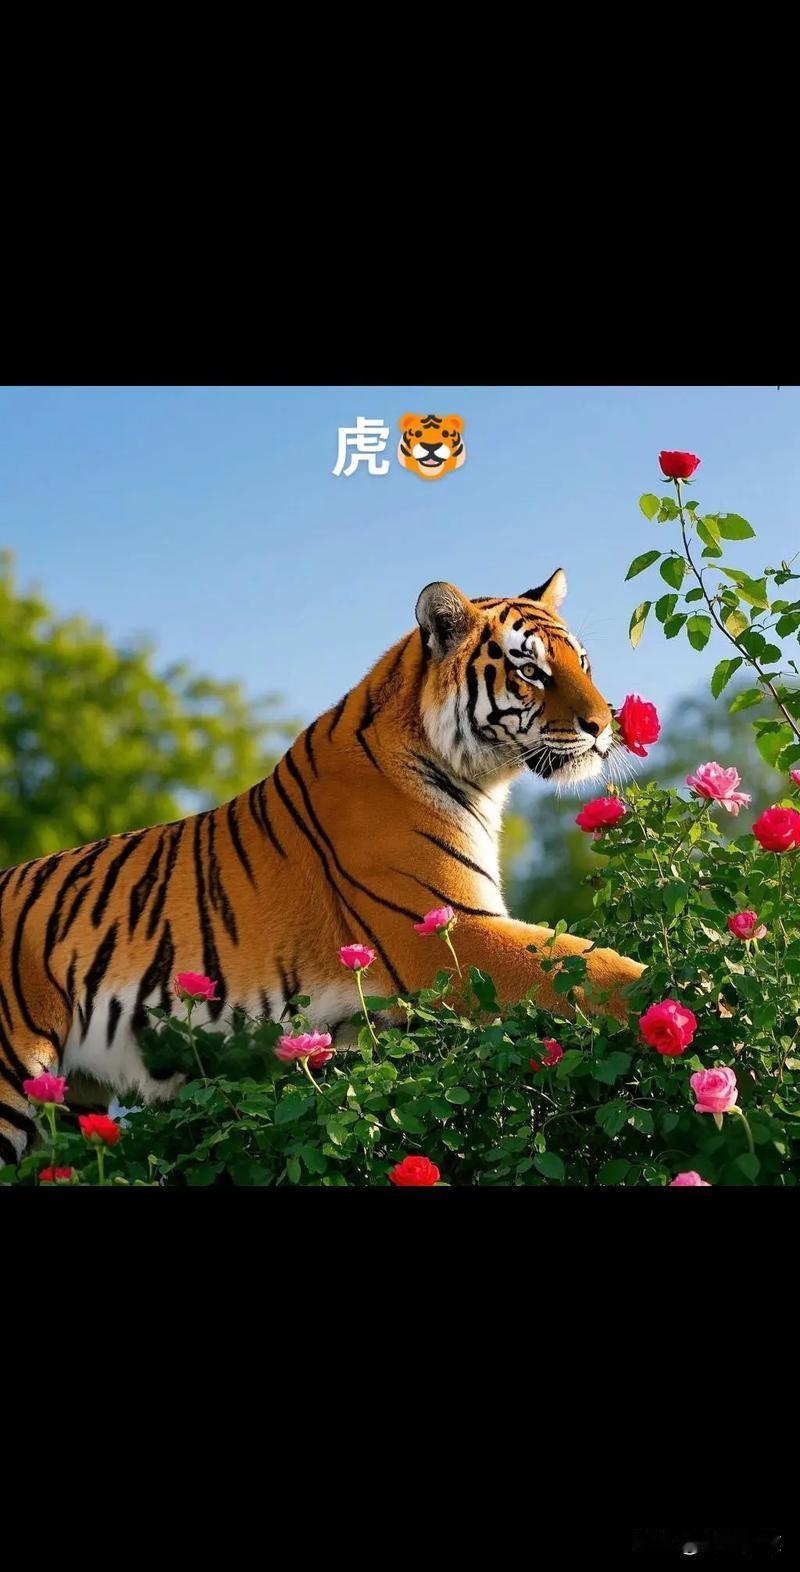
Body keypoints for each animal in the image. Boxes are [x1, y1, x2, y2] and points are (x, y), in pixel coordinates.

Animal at [0, 568, 644, 1164]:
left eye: (582, 663)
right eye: (529, 670)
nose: (604, 724)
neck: (474, 778)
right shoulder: (446, 933)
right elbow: (589, 966)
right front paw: (671, 996)